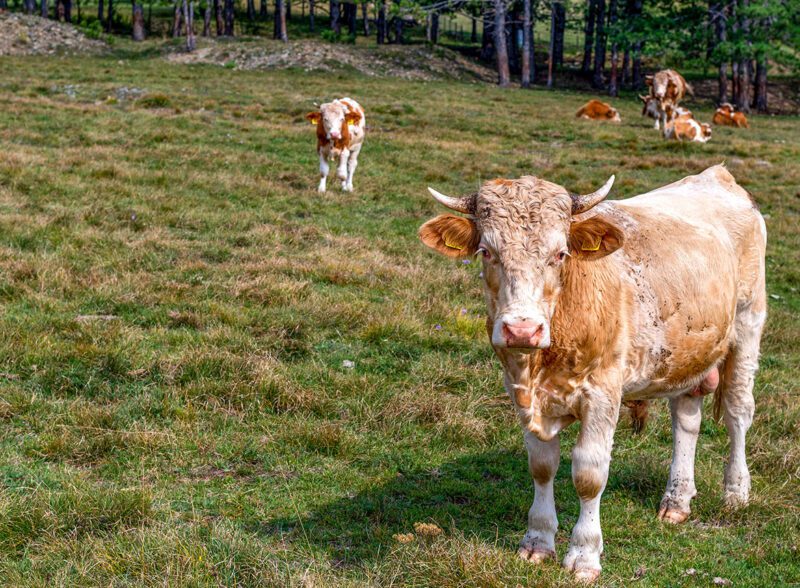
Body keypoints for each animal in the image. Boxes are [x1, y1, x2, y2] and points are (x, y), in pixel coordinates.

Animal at [418, 165, 766, 583]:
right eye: (487, 252)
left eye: (560, 253)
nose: (521, 330)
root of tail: (718, 175)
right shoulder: (518, 392)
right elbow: (541, 466)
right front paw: (537, 541)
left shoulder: (602, 394)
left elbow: (589, 474)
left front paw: (584, 555)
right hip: (689, 350)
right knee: (686, 419)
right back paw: (677, 499)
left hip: (748, 324)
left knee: (737, 411)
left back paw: (736, 492)